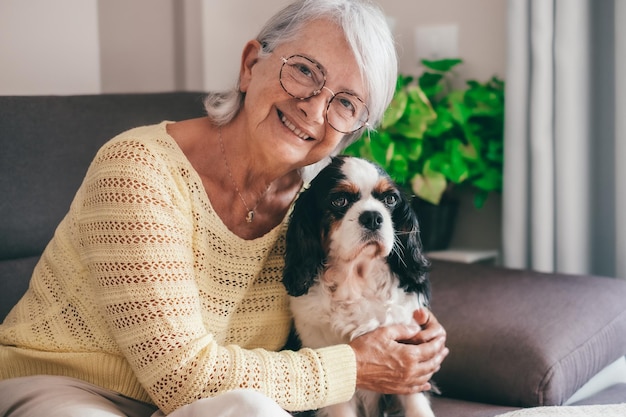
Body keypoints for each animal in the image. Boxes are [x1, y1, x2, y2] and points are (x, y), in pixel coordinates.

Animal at [280, 154, 432, 414]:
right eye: (339, 200)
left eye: (390, 199)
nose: (372, 217)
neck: (359, 281)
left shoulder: (410, 360)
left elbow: (418, 406)